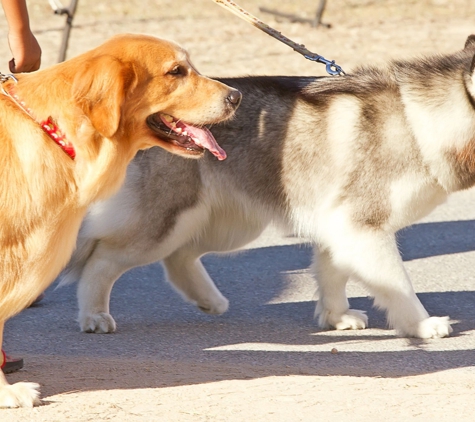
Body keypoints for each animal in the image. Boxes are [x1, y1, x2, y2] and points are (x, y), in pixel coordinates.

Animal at [62, 36, 475, 340]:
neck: (416, 122)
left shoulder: (339, 225)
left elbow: (332, 271)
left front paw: (335, 316)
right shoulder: (363, 227)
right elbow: (398, 283)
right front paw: (421, 324)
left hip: (226, 223)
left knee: (179, 257)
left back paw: (209, 300)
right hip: (164, 222)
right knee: (101, 259)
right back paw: (94, 315)